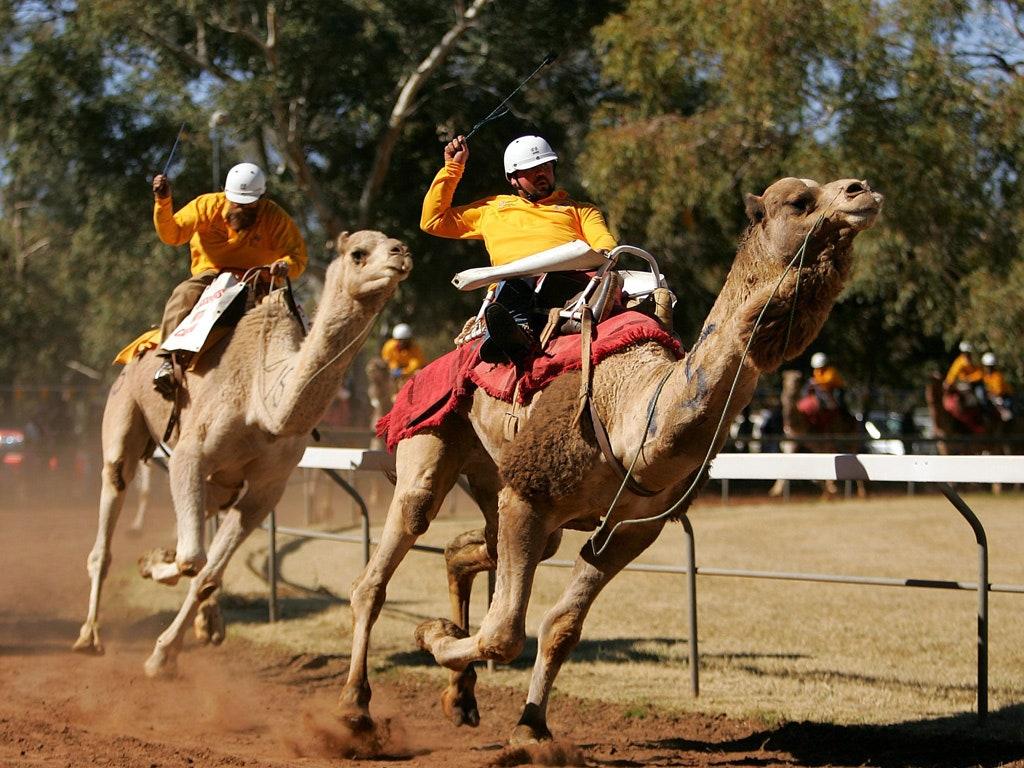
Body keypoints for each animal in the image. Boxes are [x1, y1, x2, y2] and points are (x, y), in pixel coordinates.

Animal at [73, 230, 412, 677]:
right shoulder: (191, 455)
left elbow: (206, 572)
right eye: (358, 253)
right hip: (123, 415)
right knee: (111, 501)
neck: (264, 404)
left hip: (220, 484)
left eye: (394, 242)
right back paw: (89, 636)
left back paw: (207, 622)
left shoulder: (267, 488)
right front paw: (153, 567)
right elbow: (192, 559)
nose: (401, 254)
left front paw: (165, 652)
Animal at [768, 369, 866, 498]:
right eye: (784, 380)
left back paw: (860, 492)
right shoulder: (793, 442)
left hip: (849, 437)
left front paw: (830, 490)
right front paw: (775, 490)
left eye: (797, 380)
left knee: (852, 453)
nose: (791, 388)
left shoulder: (821, 441)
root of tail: (853, 417)